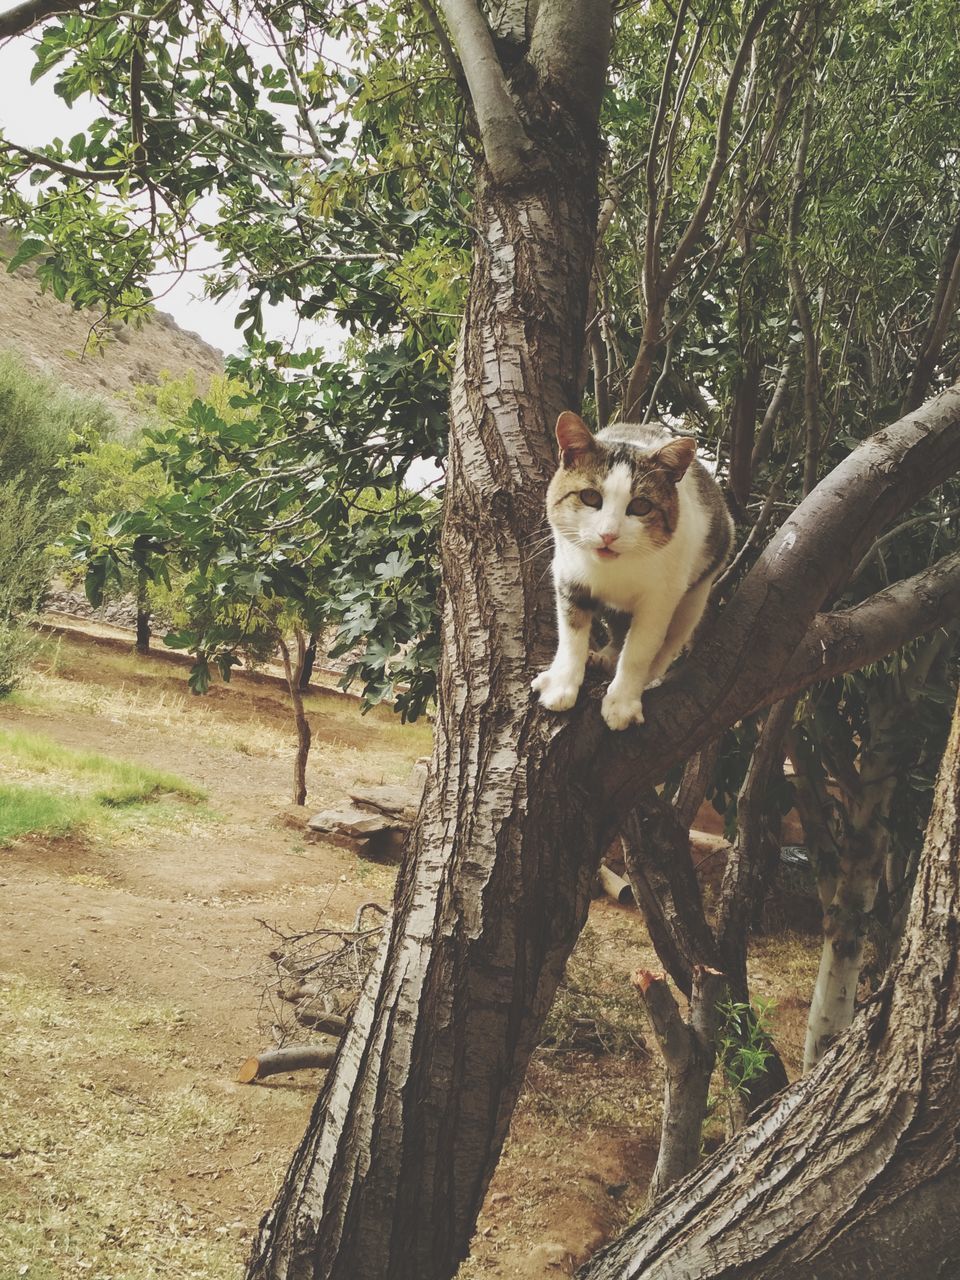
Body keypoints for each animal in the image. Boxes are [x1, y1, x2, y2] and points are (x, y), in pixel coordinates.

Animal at [535, 409, 737, 732]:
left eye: (641, 506)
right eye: (590, 497)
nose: (608, 534)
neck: (617, 568)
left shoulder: (660, 599)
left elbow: (639, 651)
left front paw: (622, 703)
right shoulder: (569, 575)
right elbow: (571, 634)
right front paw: (561, 685)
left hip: (695, 593)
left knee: (671, 640)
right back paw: (605, 656)